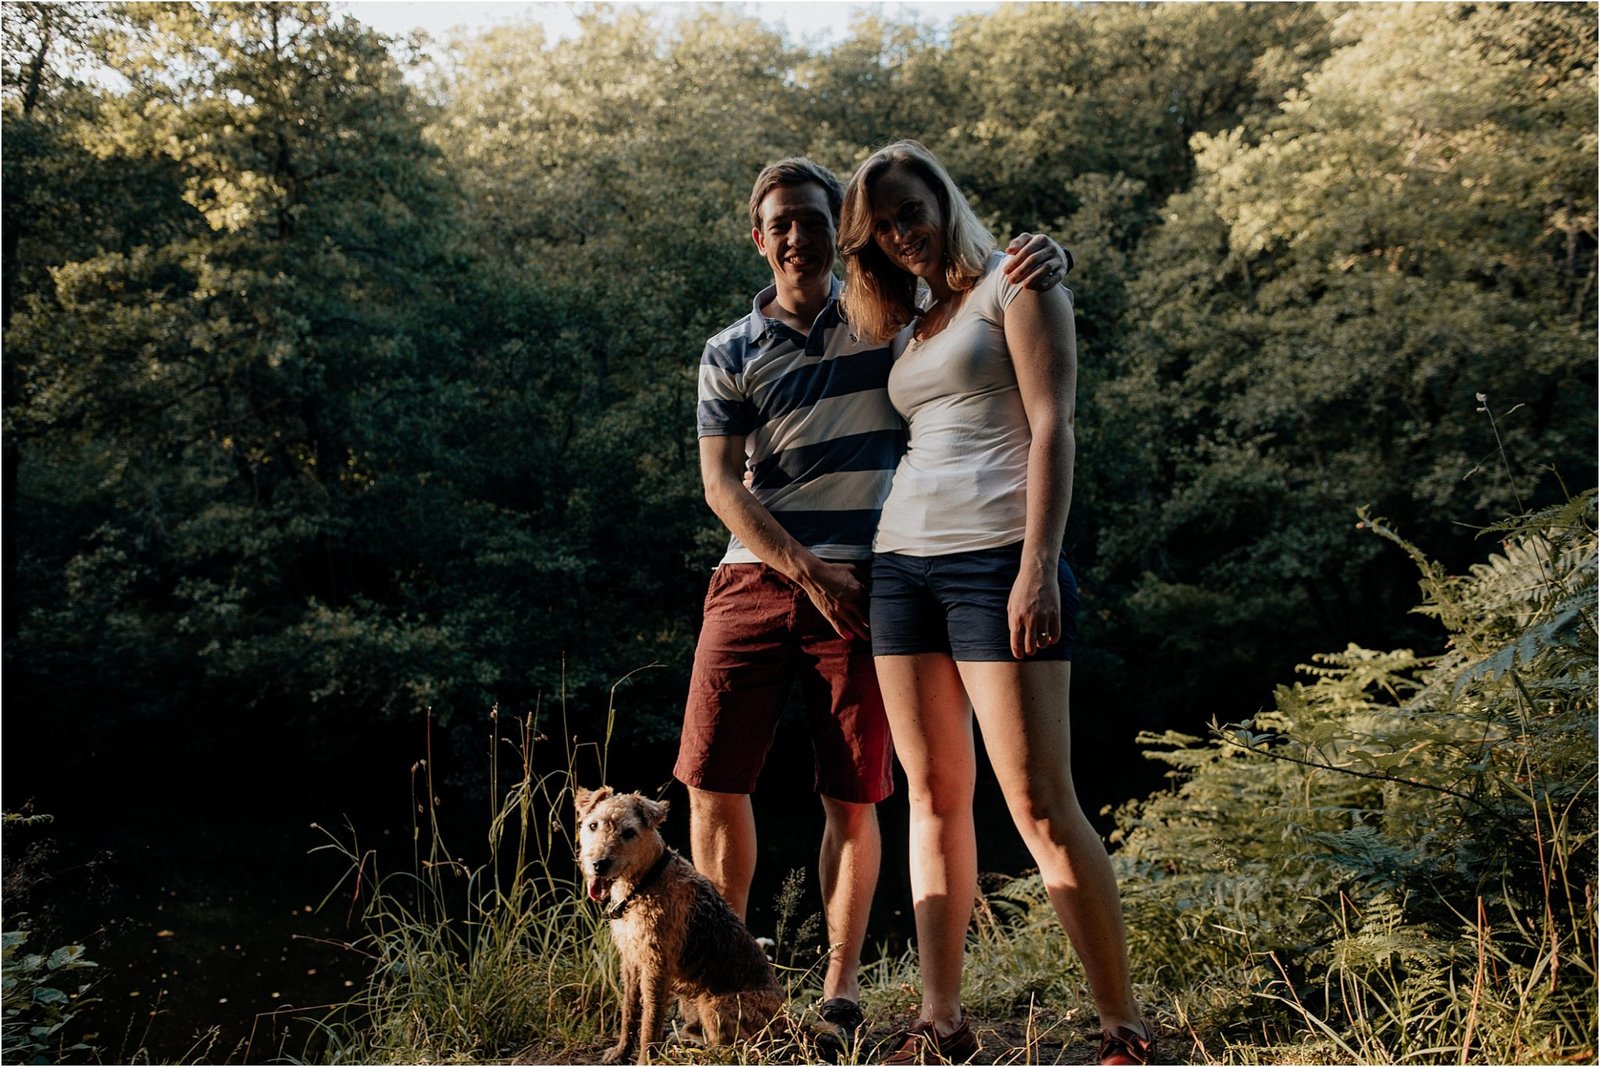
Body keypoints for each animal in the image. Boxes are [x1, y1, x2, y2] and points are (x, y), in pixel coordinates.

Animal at [579, 780, 784, 1062]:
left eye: (629, 832)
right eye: (593, 825)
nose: (599, 863)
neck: (645, 882)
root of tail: (786, 1022)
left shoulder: (656, 966)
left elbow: (649, 1023)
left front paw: (645, 1060)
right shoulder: (631, 961)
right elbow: (629, 1013)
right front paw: (620, 1052)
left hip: (716, 1004)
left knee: (735, 1050)